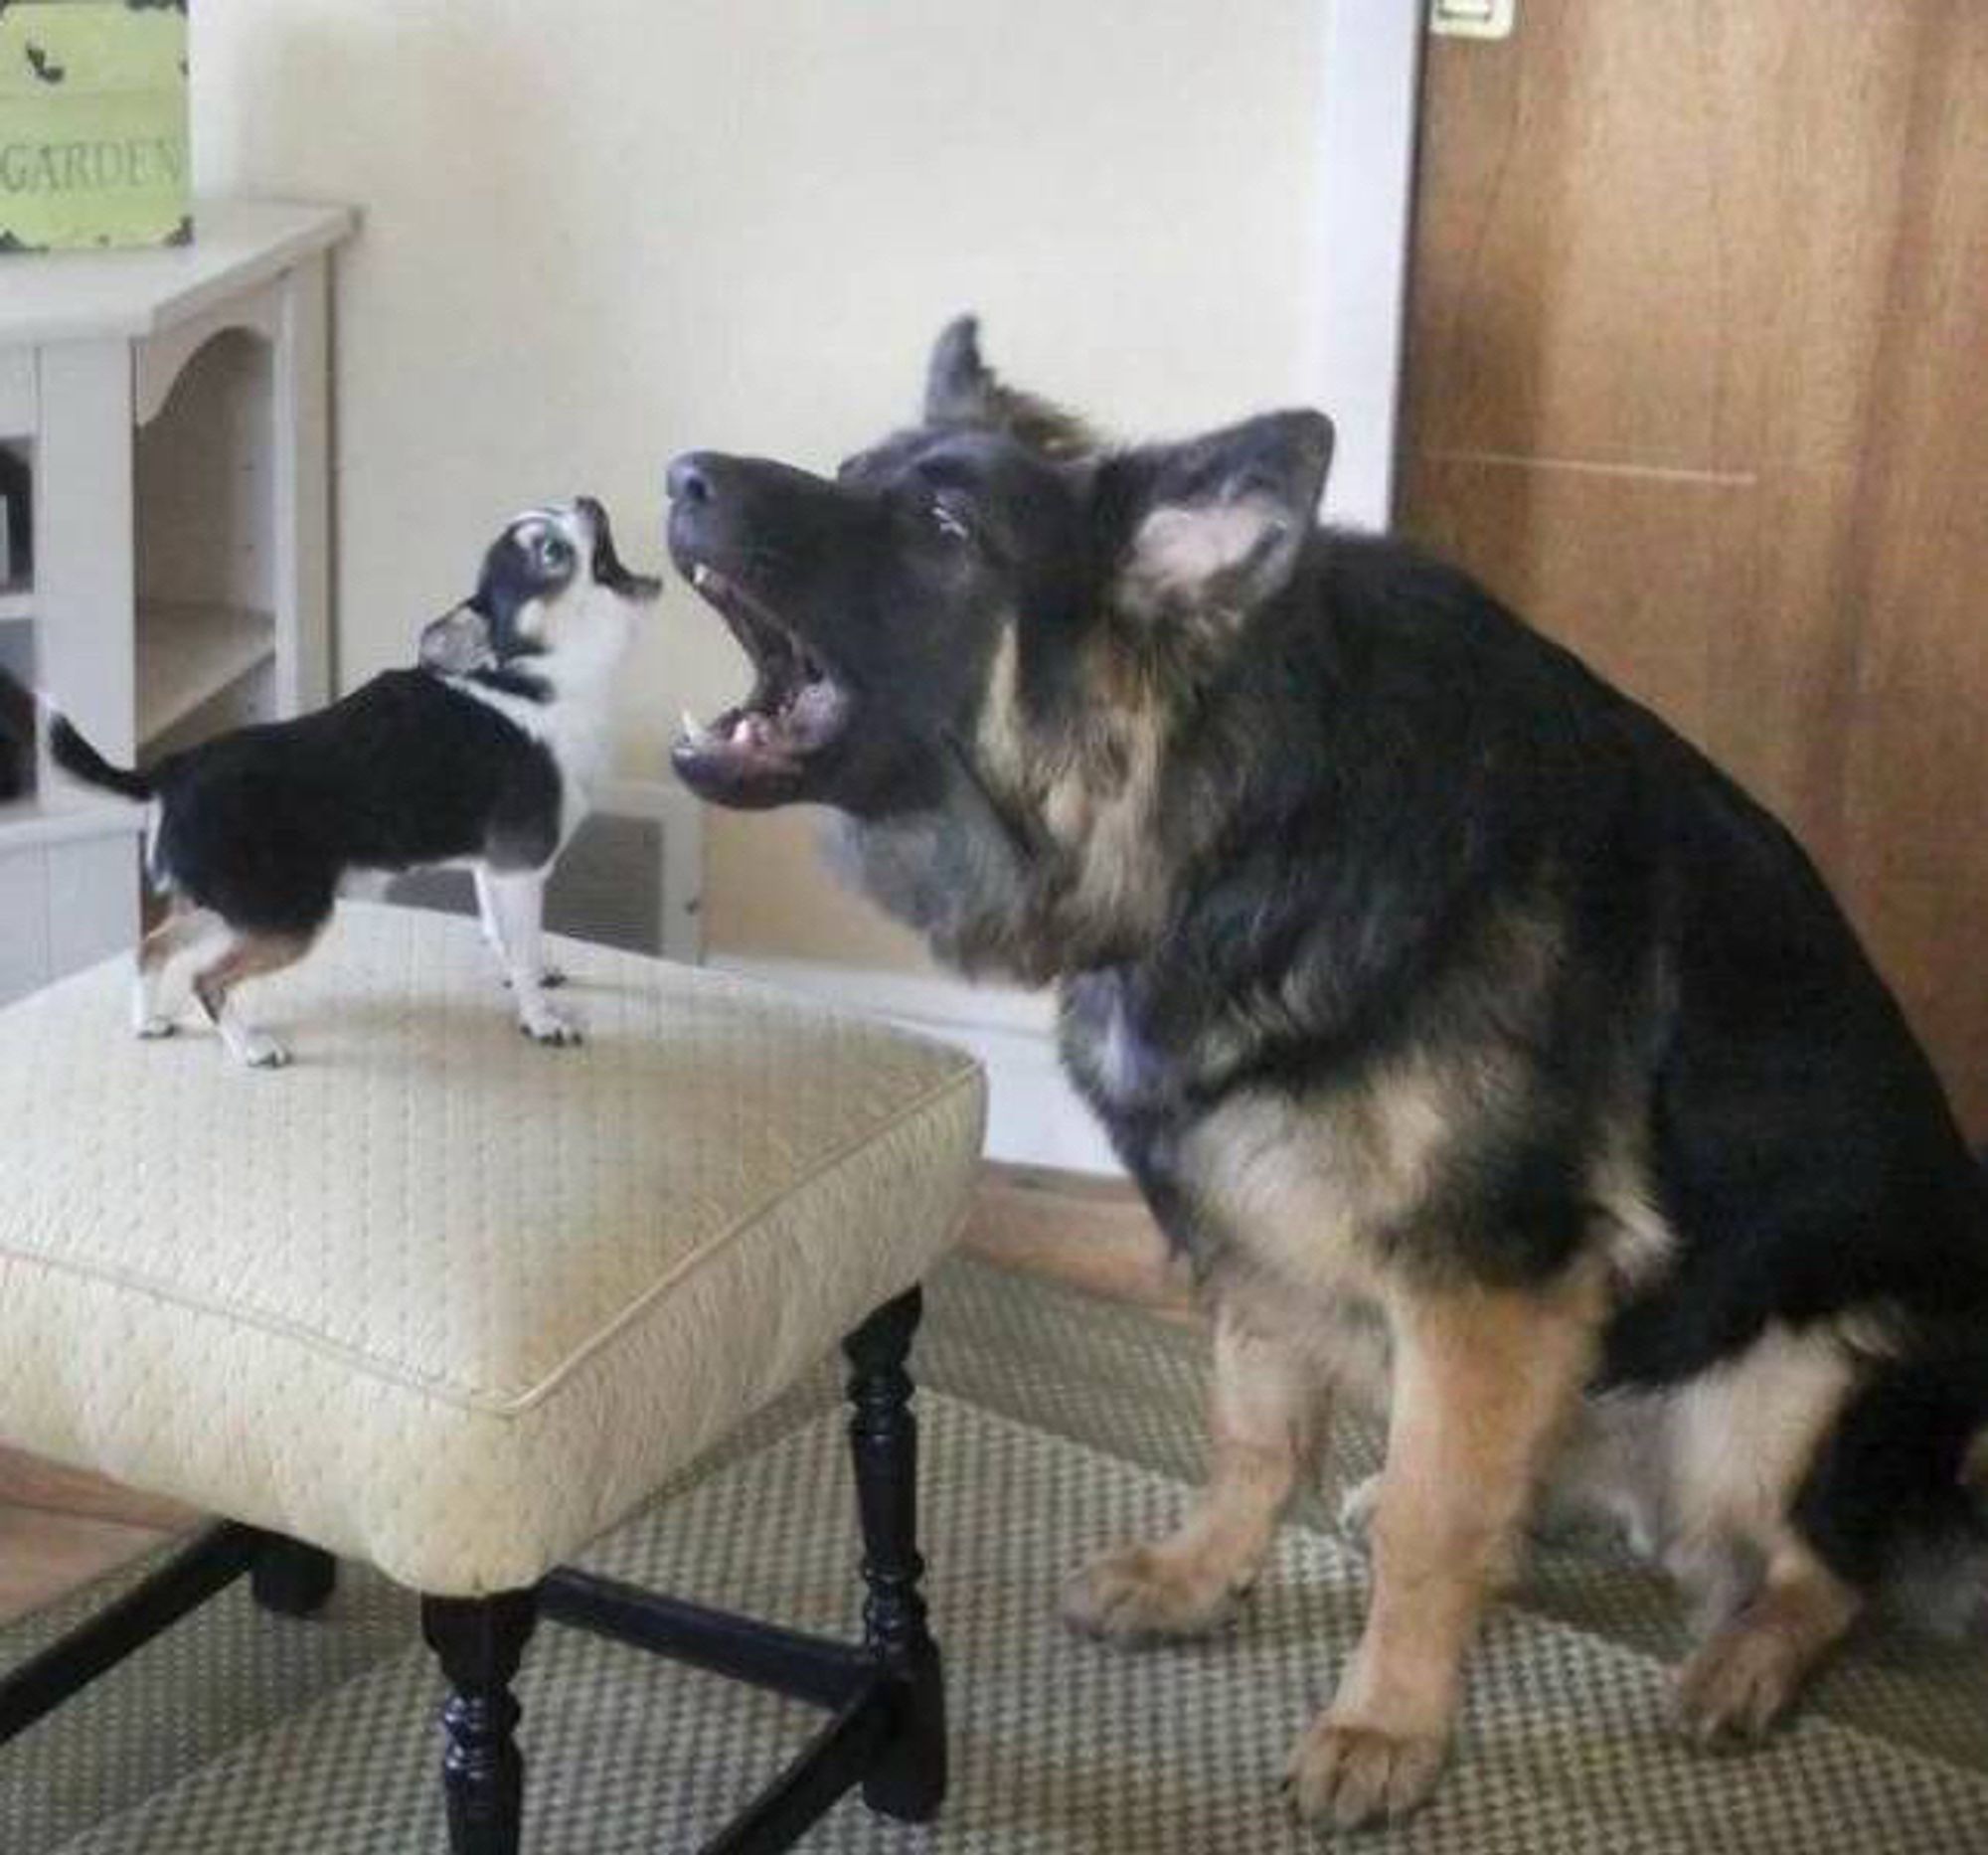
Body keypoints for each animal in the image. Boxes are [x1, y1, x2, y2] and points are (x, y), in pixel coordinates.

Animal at [48, 499, 660, 1066]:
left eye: (566, 510)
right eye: (551, 552)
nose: (589, 501)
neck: (529, 681)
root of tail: (170, 768)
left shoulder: (494, 869)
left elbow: (505, 939)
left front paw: (522, 974)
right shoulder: (521, 868)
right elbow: (524, 950)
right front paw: (541, 1018)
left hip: (233, 905)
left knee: (150, 947)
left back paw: (147, 1021)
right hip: (290, 915)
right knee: (206, 977)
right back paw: (251, 1047)